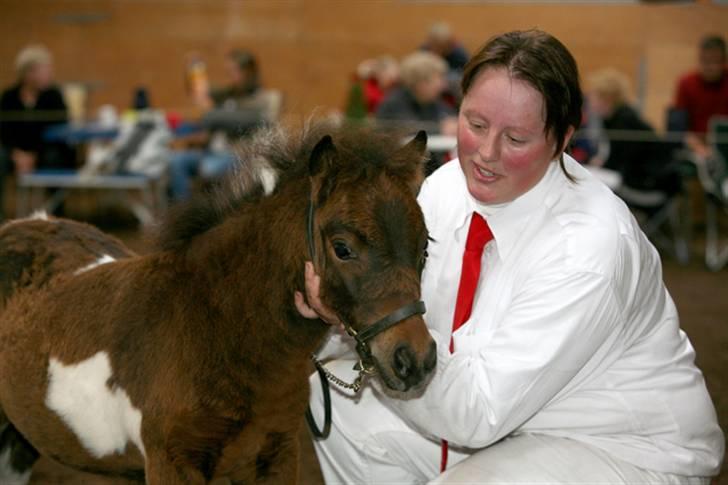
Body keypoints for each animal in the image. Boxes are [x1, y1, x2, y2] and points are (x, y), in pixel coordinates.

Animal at [0, 123, 438, 482]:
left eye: (424, 247)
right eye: (343, 248)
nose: (414, 360)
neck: (213, 330)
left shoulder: (276, 455)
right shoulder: (171, 464)